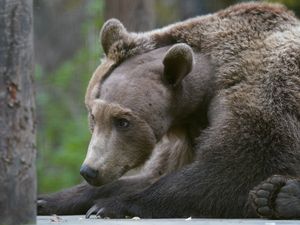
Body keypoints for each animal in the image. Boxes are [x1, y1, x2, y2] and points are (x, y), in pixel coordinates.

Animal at [39, 1, 300, 219]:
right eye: (93, 116)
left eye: (122, 121)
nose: (90, 170)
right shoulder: (184, 137)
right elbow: (153, 174)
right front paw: (48, 200)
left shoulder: (263, 97)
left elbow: (234, 169)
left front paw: (109, 206)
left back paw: (279, 195)